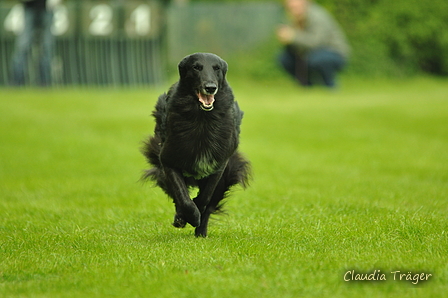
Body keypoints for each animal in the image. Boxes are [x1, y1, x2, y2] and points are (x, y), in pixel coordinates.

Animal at [142, 52, 250, 236]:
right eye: (196, 67)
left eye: (217, 68)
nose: (210, 87)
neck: (202, 119)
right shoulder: (168, 162)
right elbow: (182, 196)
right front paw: (190, 215)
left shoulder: (219, 166)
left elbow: (205, 198)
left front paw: (196, 214)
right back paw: (182, 218)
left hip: (226, 174)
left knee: (210, 204)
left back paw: (201, 232)